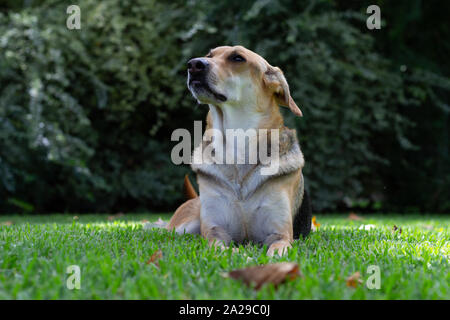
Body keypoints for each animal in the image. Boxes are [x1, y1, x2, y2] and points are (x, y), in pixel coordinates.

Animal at [167, 45, 312, 256]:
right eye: (209, 55)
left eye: (237, 58)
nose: (193, 64)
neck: (237, 146)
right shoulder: (214, 231)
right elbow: (221, 247)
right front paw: (241, 256)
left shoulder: (281, 235)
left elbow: (276, 250)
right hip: (182, 227)